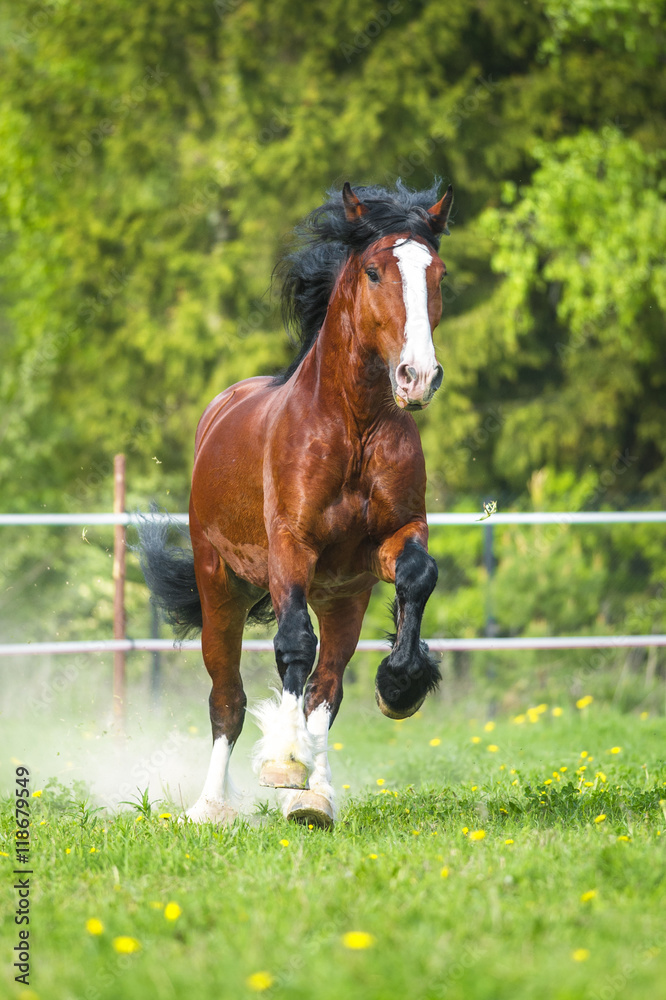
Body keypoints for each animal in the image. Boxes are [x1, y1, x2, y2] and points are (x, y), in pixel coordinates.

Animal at [137, 179, 454, 828]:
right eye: (375, 271)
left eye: (437, 274)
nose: (417, 376)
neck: (354, 427)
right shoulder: (291, 546)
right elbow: (291, 645)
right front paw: (283, 764)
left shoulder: (390, 541)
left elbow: (417, 577)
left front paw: (401, 685)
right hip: (221, 588)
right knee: (228, 697)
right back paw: (212, 805)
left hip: (343, 599)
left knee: (326, 686)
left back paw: (316, 798)